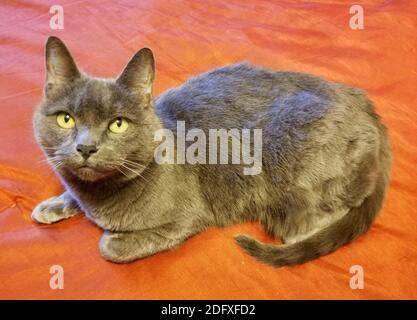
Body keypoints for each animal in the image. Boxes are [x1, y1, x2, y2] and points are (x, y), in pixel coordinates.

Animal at [31, 37, 390, 268]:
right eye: (66, 118)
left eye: (118, 124)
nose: (86, 147)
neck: (99, 197)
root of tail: (363, 103)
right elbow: (71, 192)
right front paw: (51, 205)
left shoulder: (188, 217)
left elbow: (110, 247)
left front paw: (112, 237)